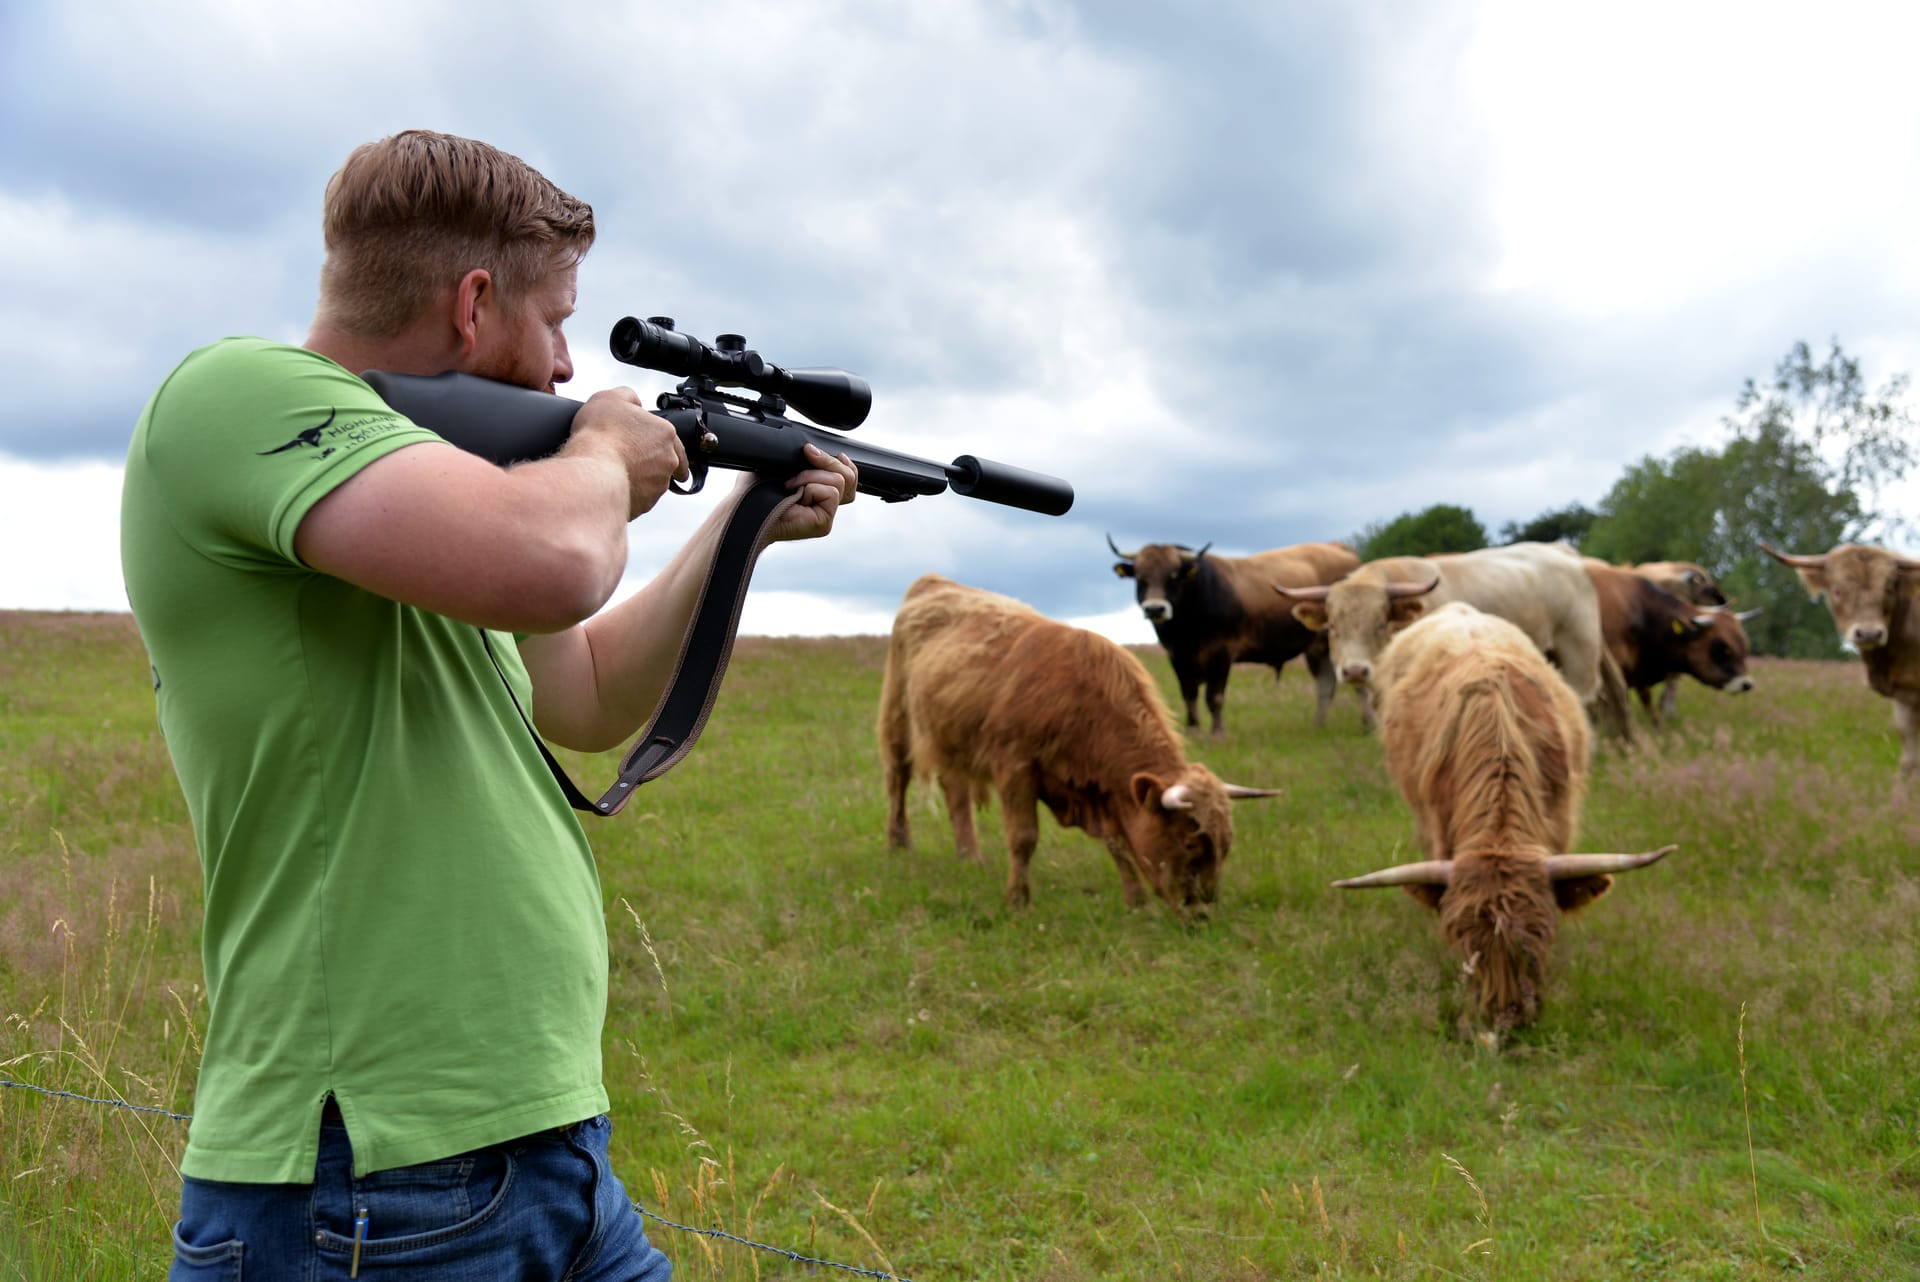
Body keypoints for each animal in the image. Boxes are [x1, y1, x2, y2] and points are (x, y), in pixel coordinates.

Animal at [879, 575, 1274, 917]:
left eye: (1225, 846)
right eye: (1190, 843)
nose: (1201, 912)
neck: (1080, 703)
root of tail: (933, 582)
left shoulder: (1104, 790)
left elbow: (1118, 844)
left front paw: (1137, 903)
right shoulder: (1015, 767)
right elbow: (1023, 838)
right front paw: (1018, 901)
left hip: (949, 738)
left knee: (955, 792)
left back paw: (970, 856)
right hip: (898, 718)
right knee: (898, 778)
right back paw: (898, 843)